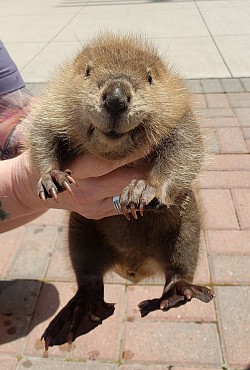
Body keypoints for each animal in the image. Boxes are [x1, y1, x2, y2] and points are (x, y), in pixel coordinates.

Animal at [24, 33, 213, 348]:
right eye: (88, 71)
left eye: (149, 77)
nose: (115, 98)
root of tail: (134, 269)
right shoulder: (56, 102)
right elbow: (40, 132)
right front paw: (52, 179)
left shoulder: (178, 109)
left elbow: (186, 144)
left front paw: (141, 191)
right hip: (80, 231)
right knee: (88, 277)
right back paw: (80, 312)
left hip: (187, 225)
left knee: (180, 268)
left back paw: (174, 295)